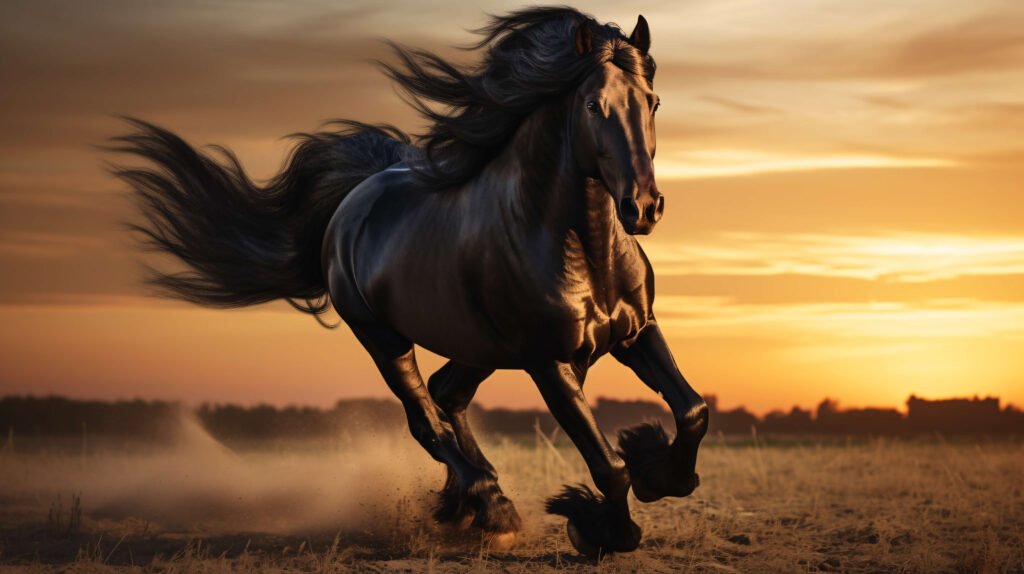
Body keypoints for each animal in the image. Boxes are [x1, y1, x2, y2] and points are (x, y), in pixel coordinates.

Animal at [112, 7, 708, 557]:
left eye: (652, 102)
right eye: (591, 105)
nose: (643, 207)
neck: (580, 248)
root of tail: (355, 198)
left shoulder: (635, 334)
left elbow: (692, 411)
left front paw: (659, 469)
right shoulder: (549, 362)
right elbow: (607, 464)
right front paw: (603, 527)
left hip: (480, 347)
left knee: (447, 396)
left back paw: (472, 503)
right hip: (384, 337)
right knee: (427, 418)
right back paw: (492, 507)